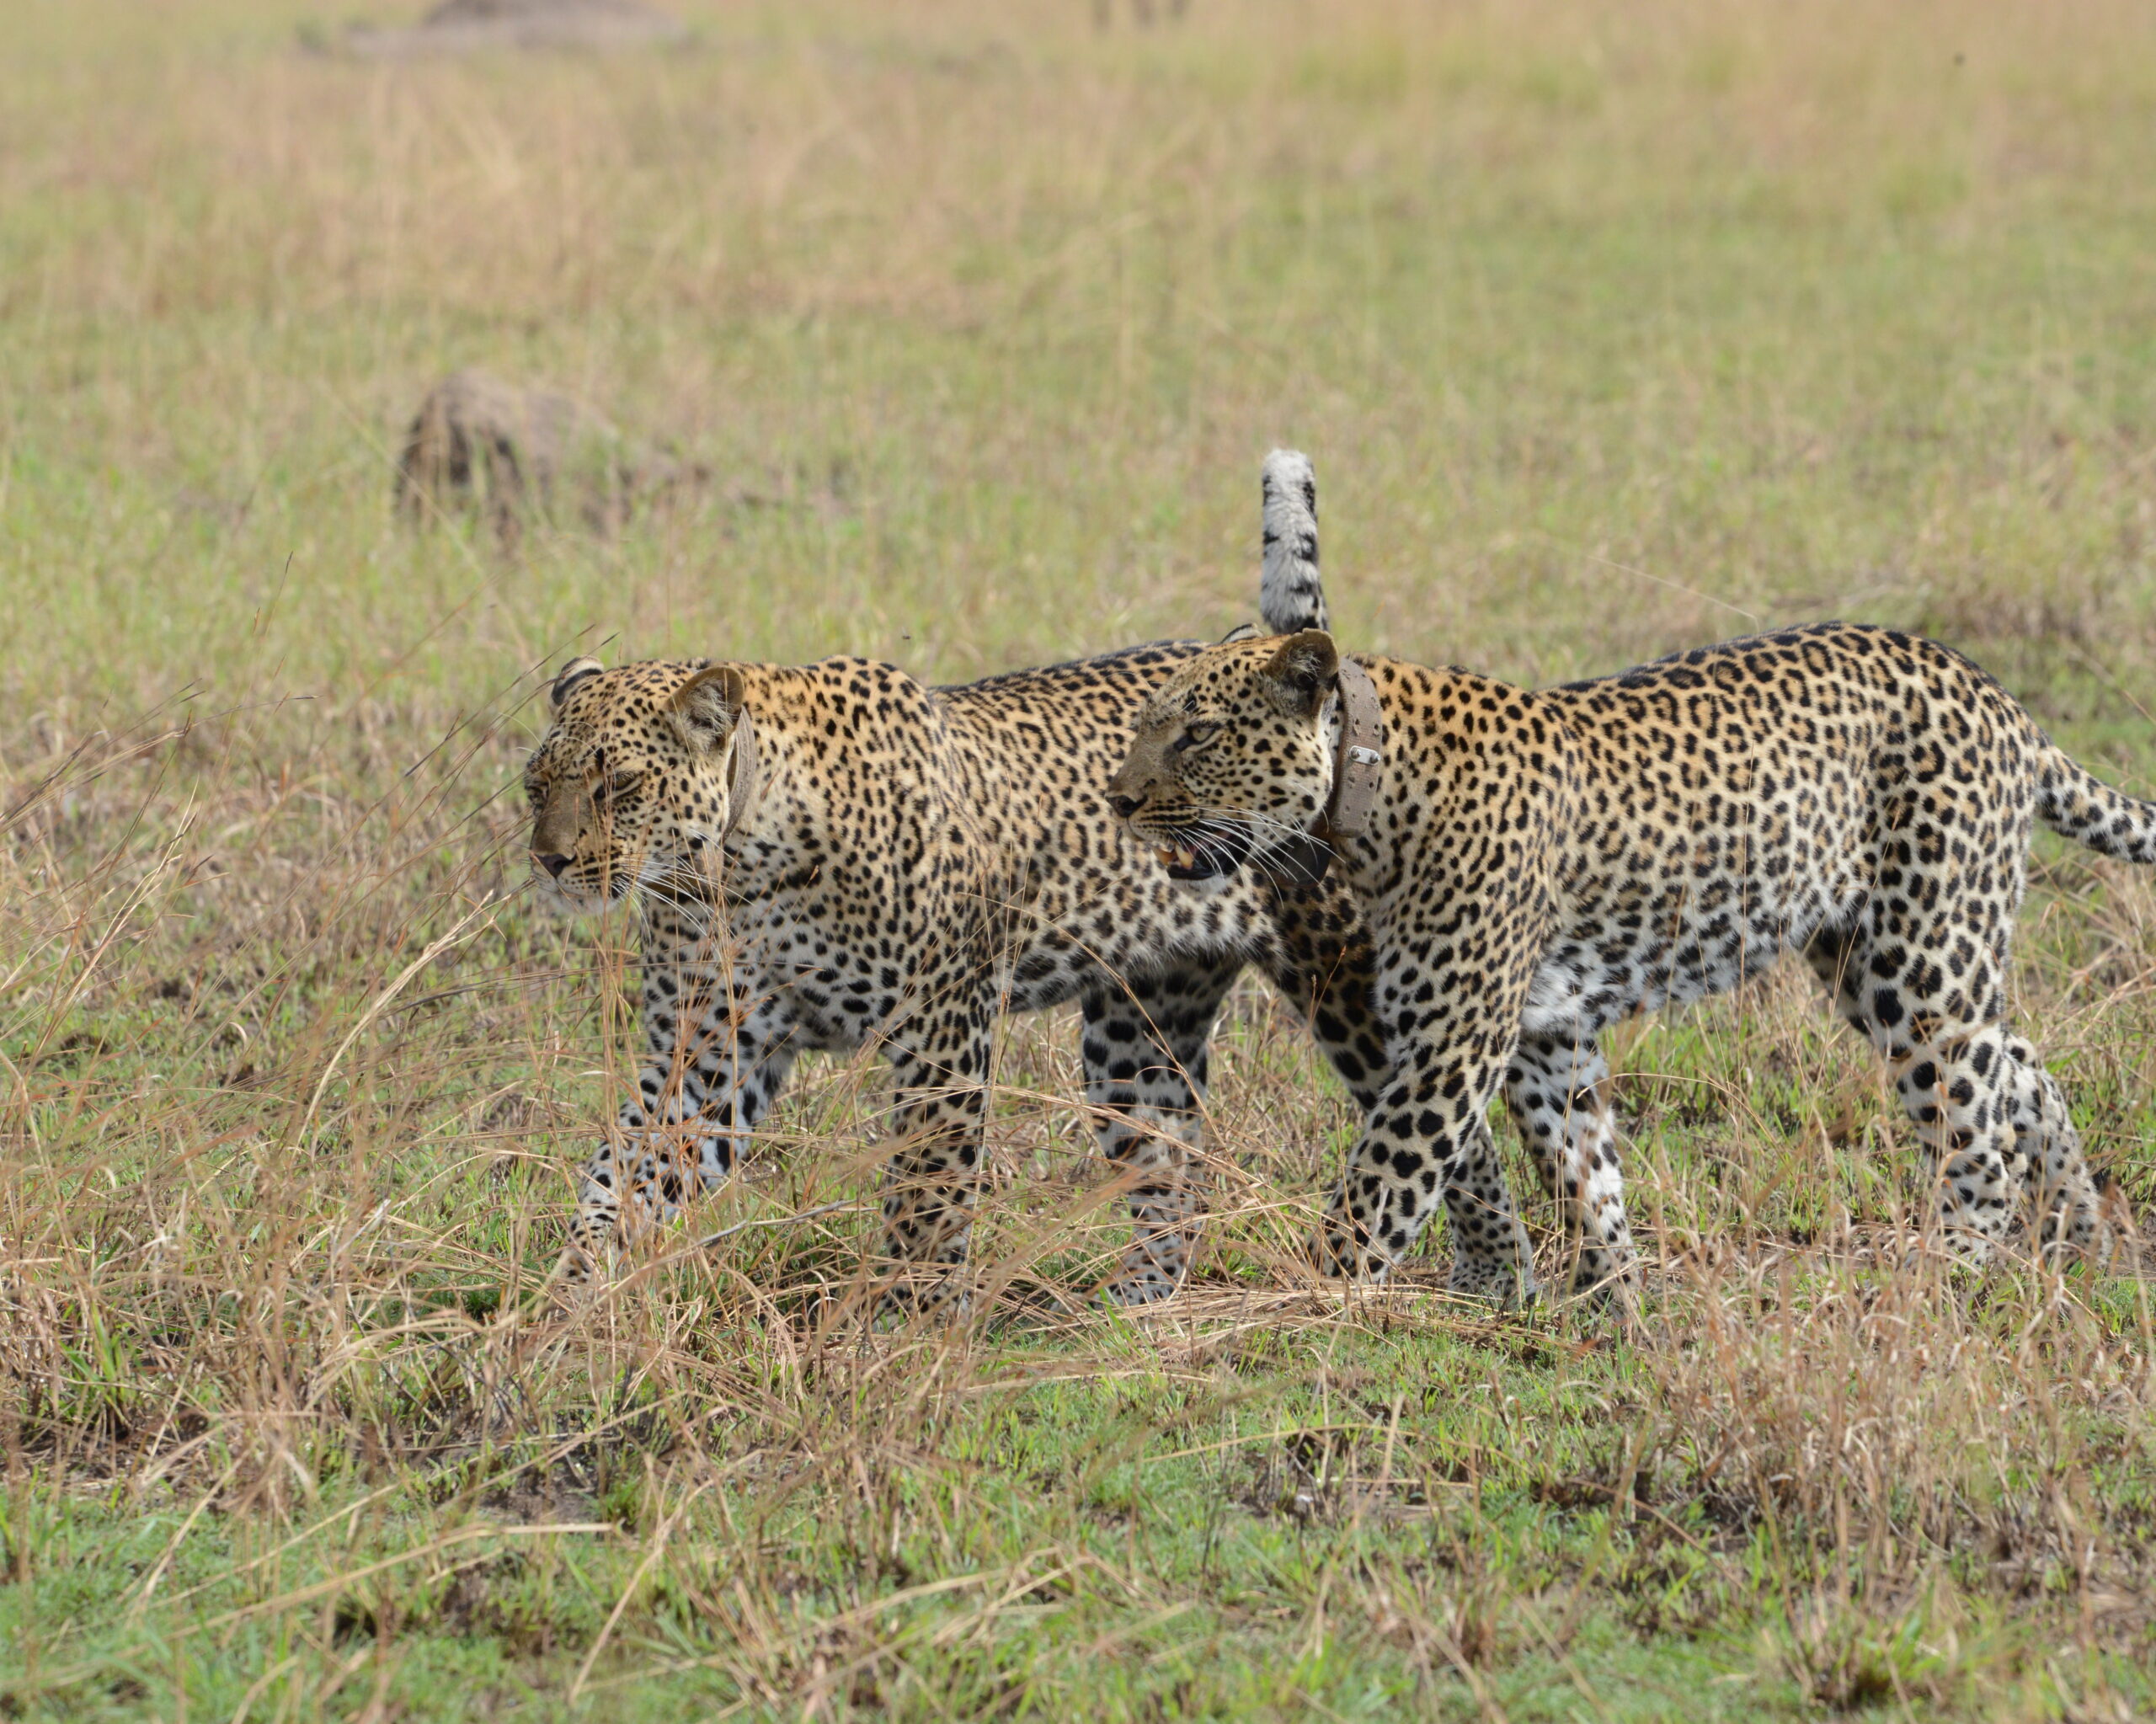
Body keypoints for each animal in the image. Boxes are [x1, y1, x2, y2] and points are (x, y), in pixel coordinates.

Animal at [524, 454, 1534, 1310]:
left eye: (620, 786)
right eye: (538, 784)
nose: (552, 859)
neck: (731, 872)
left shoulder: (939, 1028)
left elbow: (928, 1192)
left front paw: (906, 1328)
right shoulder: (705, 1053)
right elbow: (624, 1169)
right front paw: (563, 1306)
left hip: (1354, 981)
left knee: (1452, 1123)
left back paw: (1497, 1280)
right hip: (1140, 1030)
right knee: (1171, 1170)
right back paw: (1138, 1317)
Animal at [1112, 620, 2156, 1293]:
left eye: (1195, 733)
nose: (1119, 800)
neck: (1368, 794)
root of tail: (1999, 696)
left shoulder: (1455, 1043)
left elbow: (1379, 1191)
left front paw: (1303, 1309)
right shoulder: (1547, 1035)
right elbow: (1585, 1173)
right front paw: (1618, 1306)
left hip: (1923, 956)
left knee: (1976, 1134)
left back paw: (1942, 1286)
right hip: (1867, 956)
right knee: (2019, 1068)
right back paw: (2082, 1244)